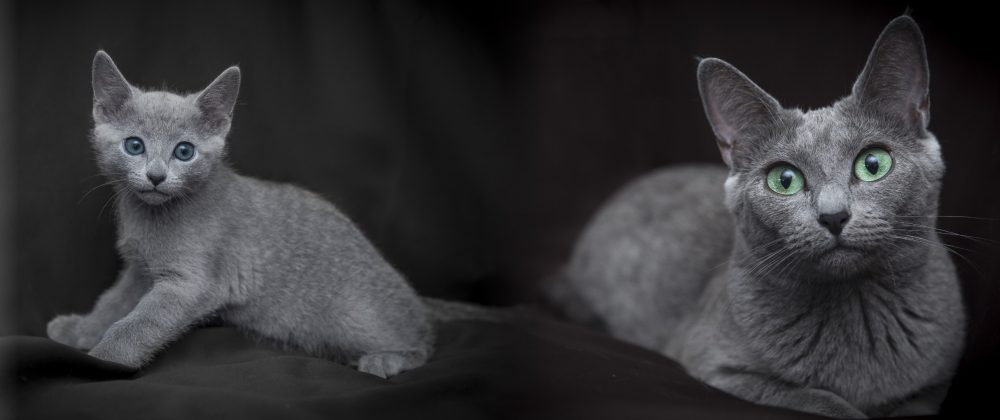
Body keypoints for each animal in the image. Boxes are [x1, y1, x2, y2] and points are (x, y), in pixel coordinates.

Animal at [45, 50, 494, 378]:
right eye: (134, 146)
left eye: (184, 151)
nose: (156, 176)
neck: (153, 218)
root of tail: (413, 296)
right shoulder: (140, 270)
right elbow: (113, 303)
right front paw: (79, 330)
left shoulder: (190, 283)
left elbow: (138, 324)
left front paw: (103, 357)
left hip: (357, 316)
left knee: (423, 336)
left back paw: (388, 359)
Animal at [544, 15, 964, 416]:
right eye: (785, 180)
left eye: (873, 164)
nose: (833, 215)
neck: (857, 309)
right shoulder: (718, 367)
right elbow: (818, 400)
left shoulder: (940, 379)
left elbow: (917, 404)